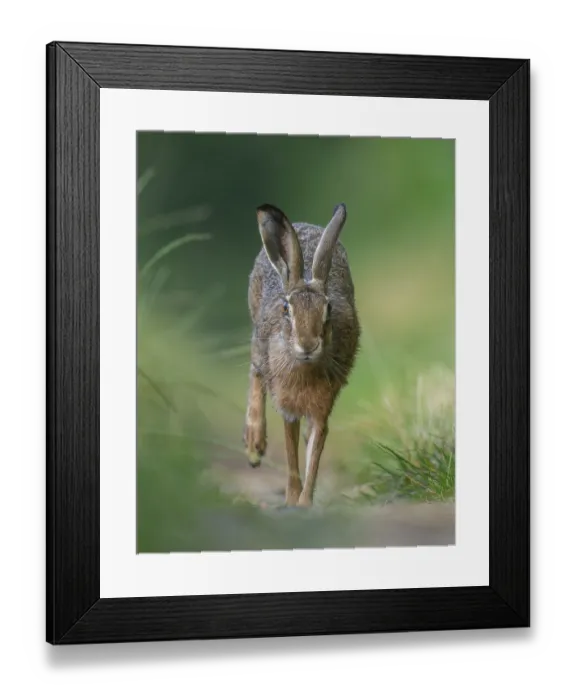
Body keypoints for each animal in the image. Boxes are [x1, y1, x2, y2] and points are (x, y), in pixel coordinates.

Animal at [243, 203, 360, 507]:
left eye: (328, 309)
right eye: (287, 309)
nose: (307, 345)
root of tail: (304, 225)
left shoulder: (322, 408)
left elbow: (315, 451)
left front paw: (305, 503)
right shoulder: (288, 407)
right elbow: (290, 453)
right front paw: (292, 500)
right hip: (258, 339)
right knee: (255, 372)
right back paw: (254, 444)